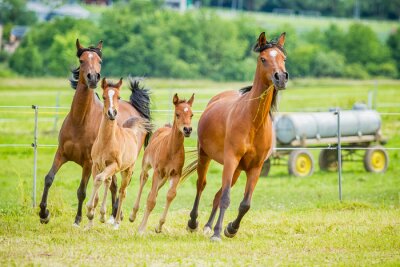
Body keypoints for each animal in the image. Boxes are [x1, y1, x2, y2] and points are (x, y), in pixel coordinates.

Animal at [86, 77, 152, 230]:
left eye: (119, 97)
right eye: (104, 96)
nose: (112, 113)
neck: (107, 141)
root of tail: (132, 130)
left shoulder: (114, 165)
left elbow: (99, 179)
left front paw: (91, 211)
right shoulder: (96, 165)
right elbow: (98, 182)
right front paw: (90, 220)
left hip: (127, 170)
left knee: (122, 192)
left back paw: (116, 222)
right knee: (110, 182)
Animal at [130, 93, 195, 234]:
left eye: (191, 115)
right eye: (177, 114)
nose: (187, 129)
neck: (171, 150)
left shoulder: (176, 174)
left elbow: (170, 195)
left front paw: (159, 226)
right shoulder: (157, 171)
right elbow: (151, 200)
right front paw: (141, 229)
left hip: (164, 178)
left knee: (153, 192)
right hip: (147, 165)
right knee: (143, 179)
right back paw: (133, 215)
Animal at [186, 31, 290, 243]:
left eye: (283, 58)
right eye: (263, 59)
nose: (281, 78)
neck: (253, 122)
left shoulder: (256, 168)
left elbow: (245, 204)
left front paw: (231, 229)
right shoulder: (231, 159)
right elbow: (226, 198)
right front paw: (218, 233)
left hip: (235, 171)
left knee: (217, 194)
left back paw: (208, 226)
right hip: (207, 157)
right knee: (201, 186)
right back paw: (194, 223)